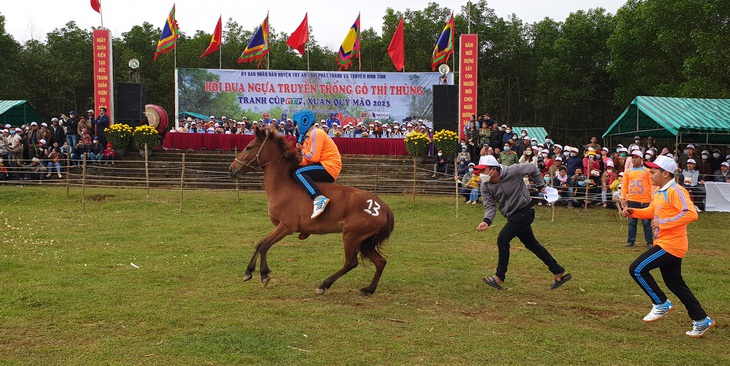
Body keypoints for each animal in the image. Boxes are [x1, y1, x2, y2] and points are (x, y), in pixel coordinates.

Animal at [230, 127, 396, 296]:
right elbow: (259, 244)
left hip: (352, 237)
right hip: (363, 241)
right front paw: (249, 271)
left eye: (249, 147)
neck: (284, 185)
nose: (232, 168)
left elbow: (264, 245)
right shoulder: (280, 227)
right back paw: (369, 289)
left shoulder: (285, 227)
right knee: (380, 262)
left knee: (351, 262)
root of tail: (383, 207)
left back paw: (323, 285)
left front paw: (263, 274)